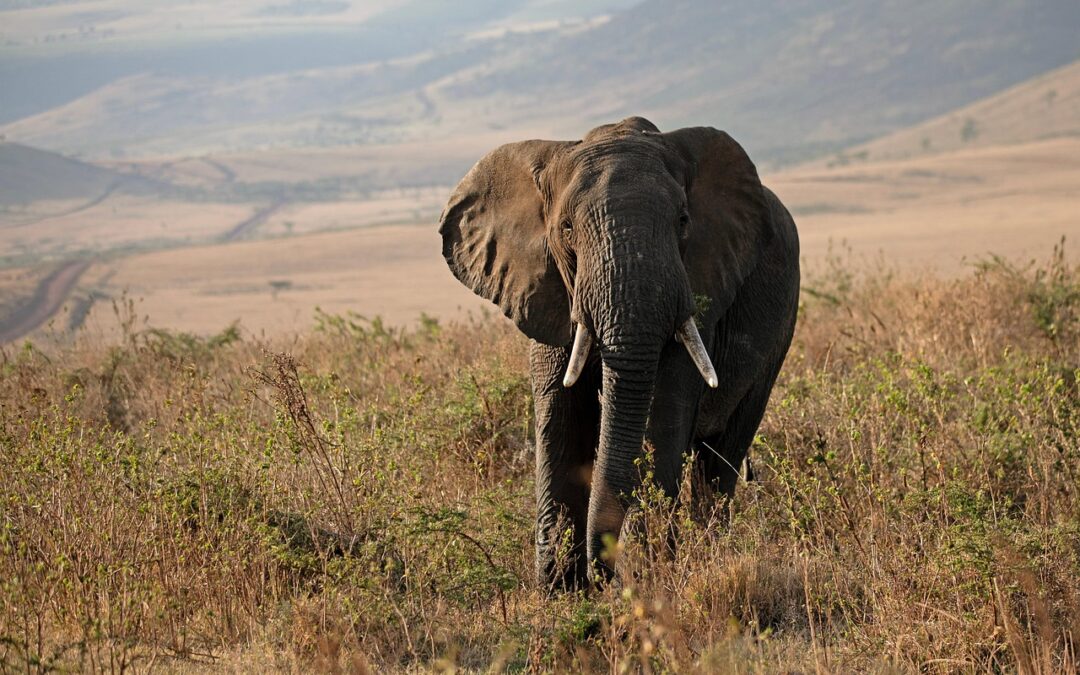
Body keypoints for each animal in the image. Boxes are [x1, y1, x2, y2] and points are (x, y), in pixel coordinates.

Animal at [438, 117, 803, 587]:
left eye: (683, 221)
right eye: (567, 229)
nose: (603, 571)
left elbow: (661, 416)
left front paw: (645, 578)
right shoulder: (546, 290)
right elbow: (560, 416)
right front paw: (560, 591)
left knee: (722, 456)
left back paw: (707, 557)